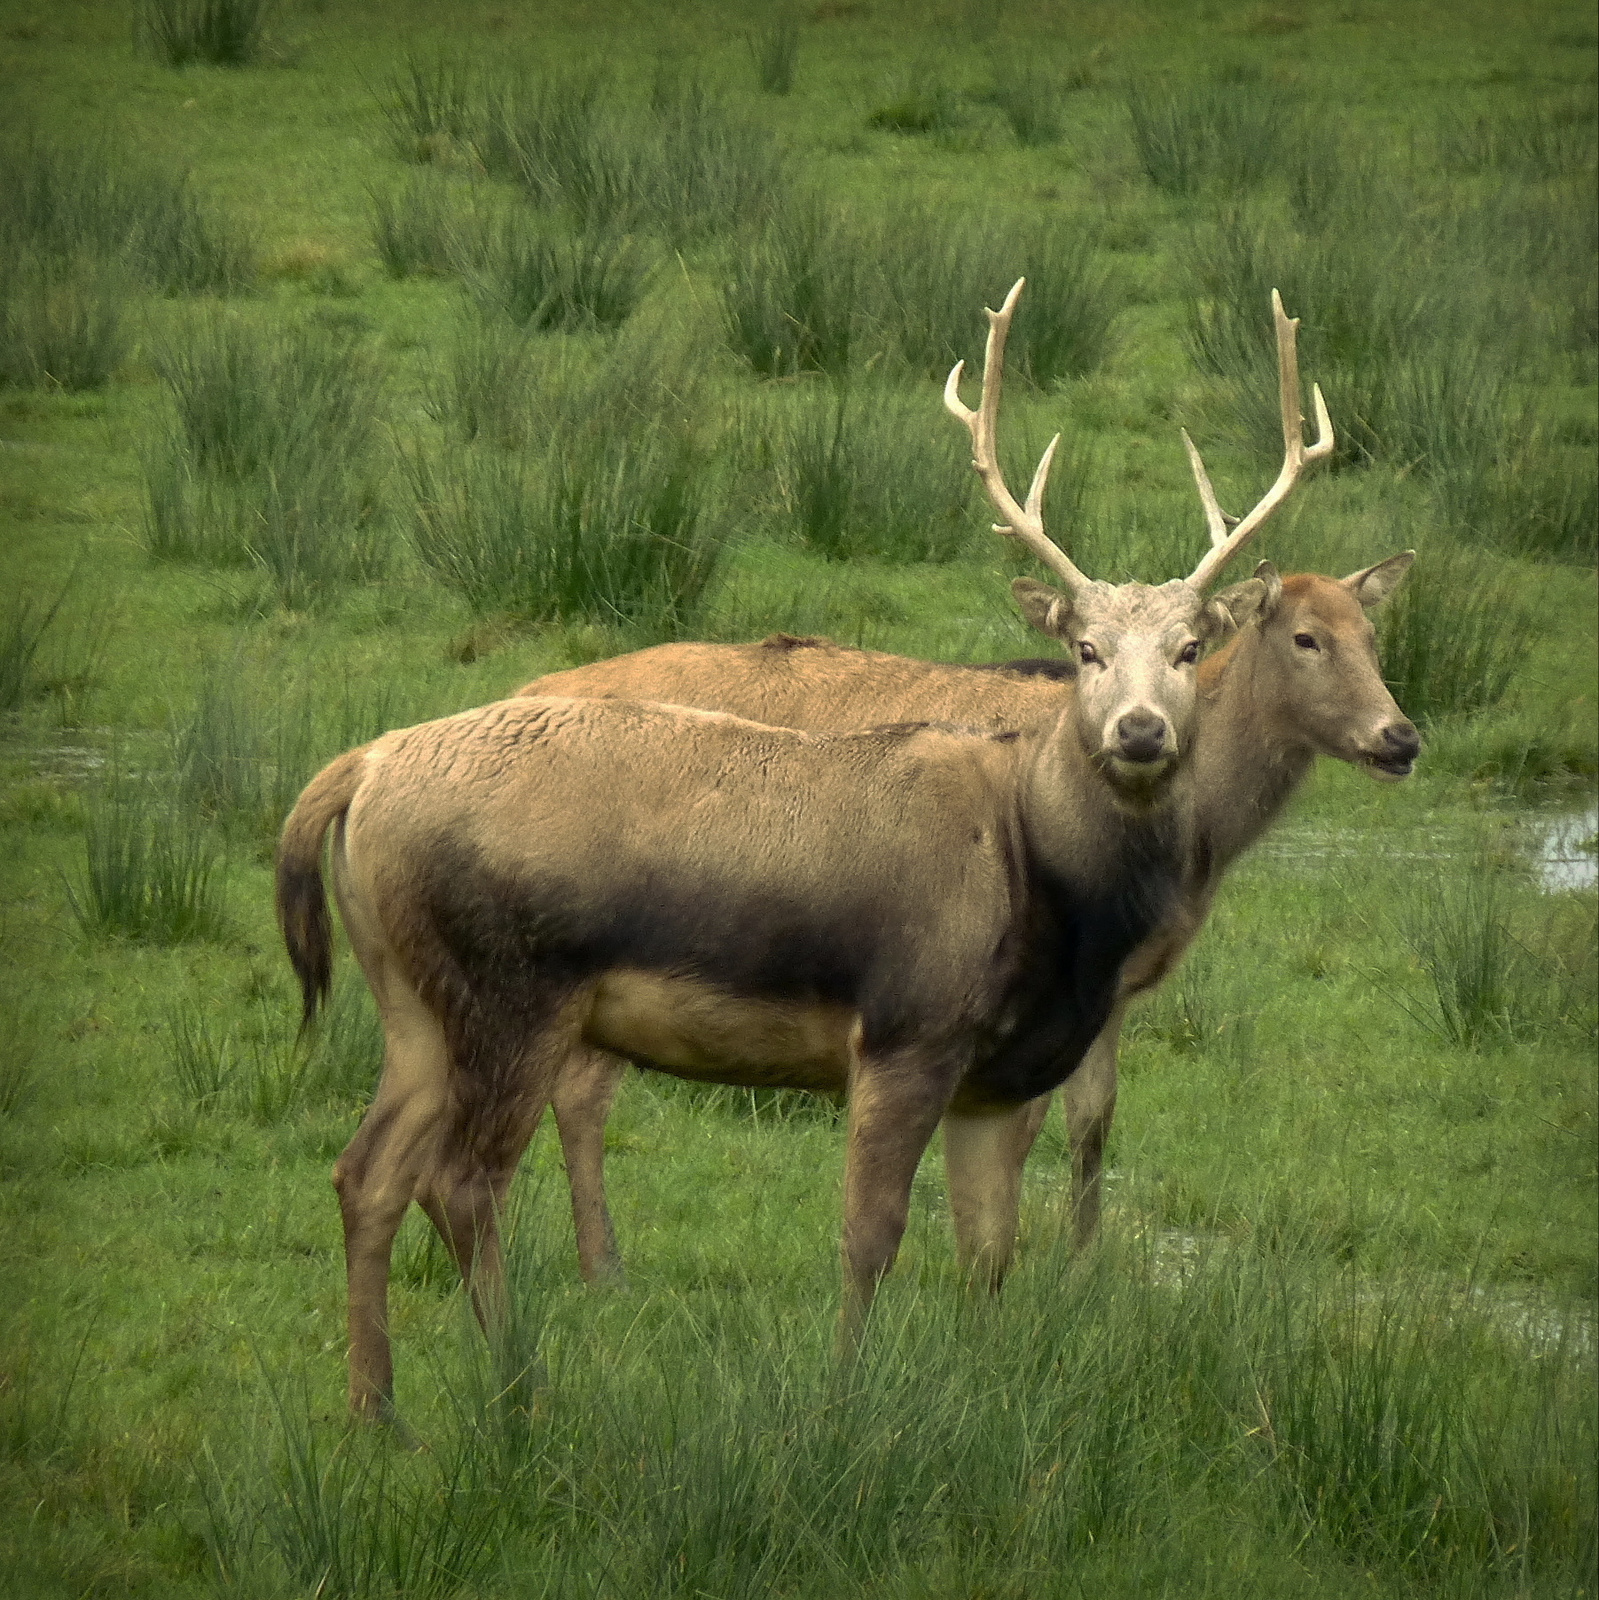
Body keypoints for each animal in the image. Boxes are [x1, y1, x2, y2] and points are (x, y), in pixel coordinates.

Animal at [281, 284, 1331, 1414]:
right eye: (1084, 649)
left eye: (1189, 648)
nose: (1140, 731)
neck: (1042, 888)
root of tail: (361, 768)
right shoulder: (906, 1026)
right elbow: (869, 1238)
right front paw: (842, 1398)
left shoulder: (997, 1075)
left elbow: (988, 1253)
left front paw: (986, 1393)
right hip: (510, 988)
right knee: (459, 1180)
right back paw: (517, 1385)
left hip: (410, 1001)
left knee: (365, 1170)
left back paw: (378, 1409)